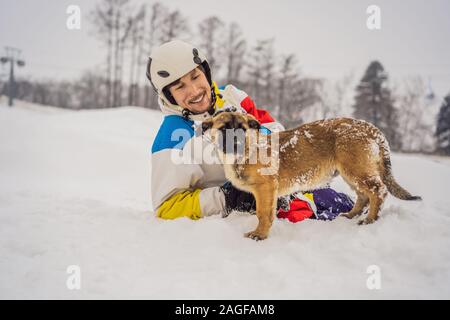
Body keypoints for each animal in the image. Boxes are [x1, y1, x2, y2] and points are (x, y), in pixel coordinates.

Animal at [202, 112, 420, 240]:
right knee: (363, 195)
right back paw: (351, 215)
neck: (247, 151)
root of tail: (371, 128)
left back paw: (369, 220)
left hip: (355, 169)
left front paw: (259, 234)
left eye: (242, 129)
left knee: (378, 191)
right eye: (223, 129)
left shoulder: (266, 189)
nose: (235, 142)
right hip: (350, 172)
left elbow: (263, 214)